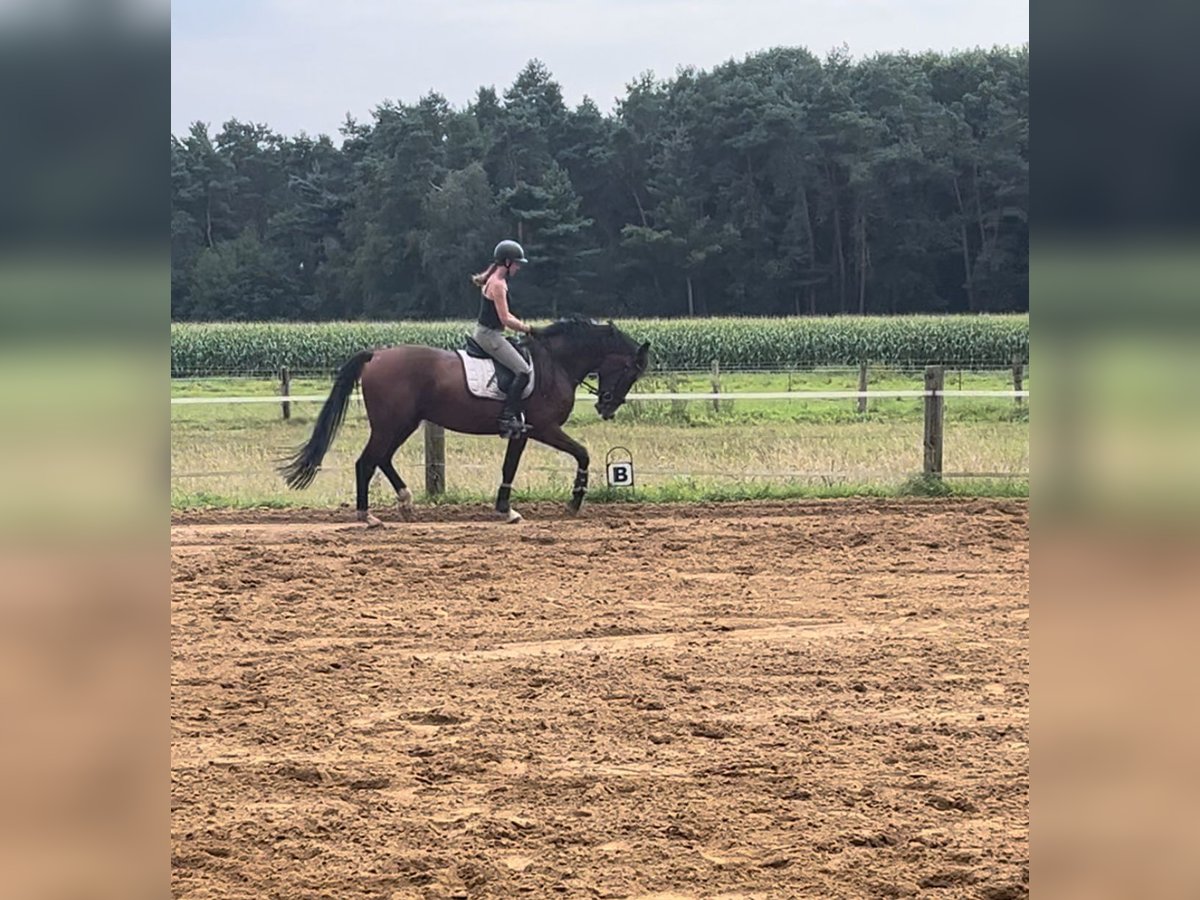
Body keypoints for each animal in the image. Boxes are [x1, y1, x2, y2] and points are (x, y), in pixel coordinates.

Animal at [280, 319, 652, 525]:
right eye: (630, 371)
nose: (607, 407)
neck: (554, 363)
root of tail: (378, 354)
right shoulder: (543, 428)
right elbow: (582, 453)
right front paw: (573, 502)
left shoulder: (523, 433)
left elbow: (509, 467)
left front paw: (505, 509)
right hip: (391, 424)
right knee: (366, 461)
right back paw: (367, 516)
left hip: (404, 423)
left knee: (381, 458)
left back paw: (406, 503)